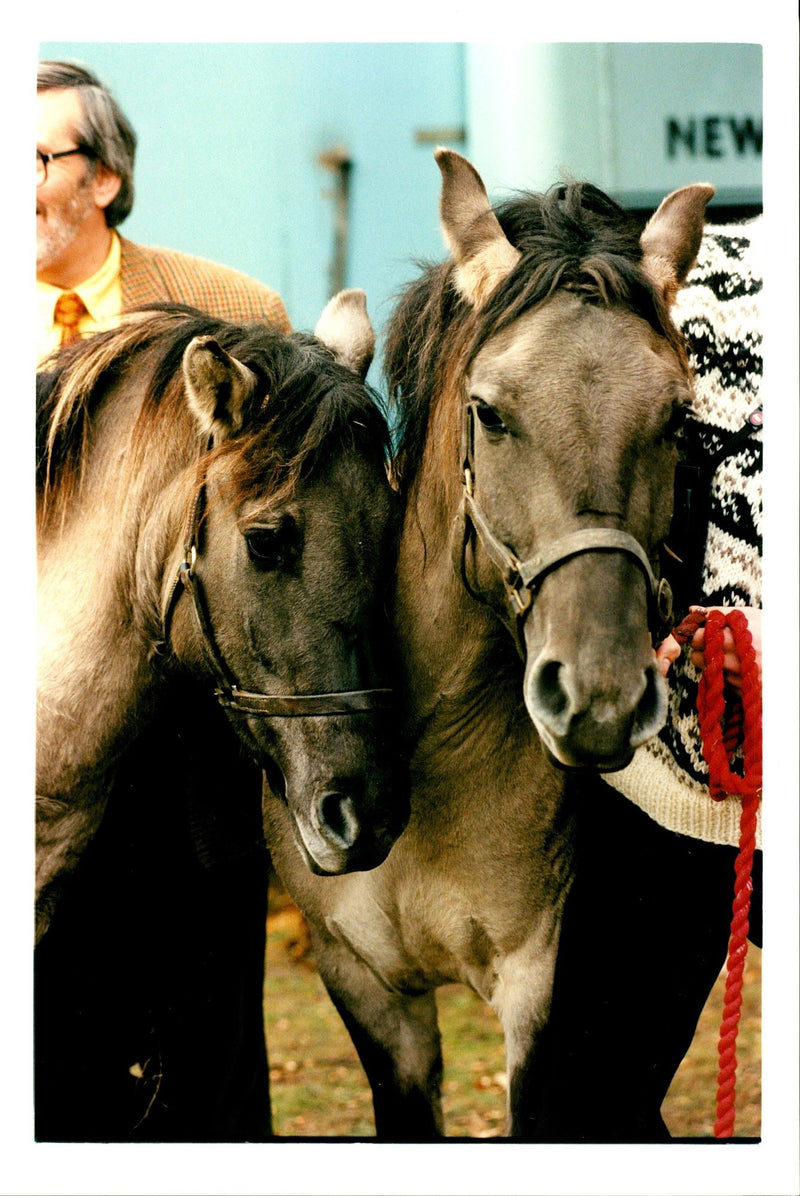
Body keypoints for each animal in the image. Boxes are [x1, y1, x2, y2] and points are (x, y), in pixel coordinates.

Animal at [263, 154, 712, 1133]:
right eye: (490, 413)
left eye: (677, 418)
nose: (599, 697)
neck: (428, 762)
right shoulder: (369, 992)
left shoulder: (546, 1001)